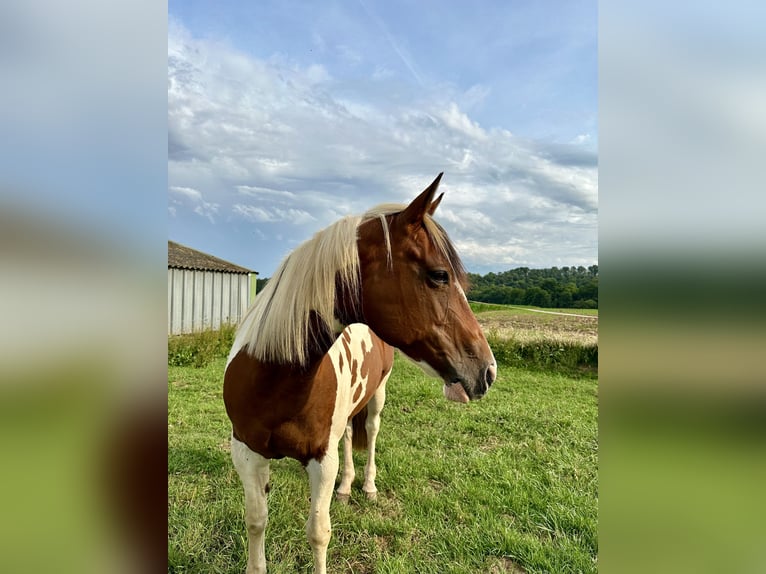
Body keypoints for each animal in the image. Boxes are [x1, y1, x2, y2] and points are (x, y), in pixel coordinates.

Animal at [224, 173, 498, 572]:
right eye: (439, 275)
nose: (488, 370)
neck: (273, 380)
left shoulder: (321, 461)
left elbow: (318, 533)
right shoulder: (246, 453)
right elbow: (256, 521)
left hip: (377, 397)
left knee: (370, 431)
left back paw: (366, 486)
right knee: (351, 438)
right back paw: (346, 485)